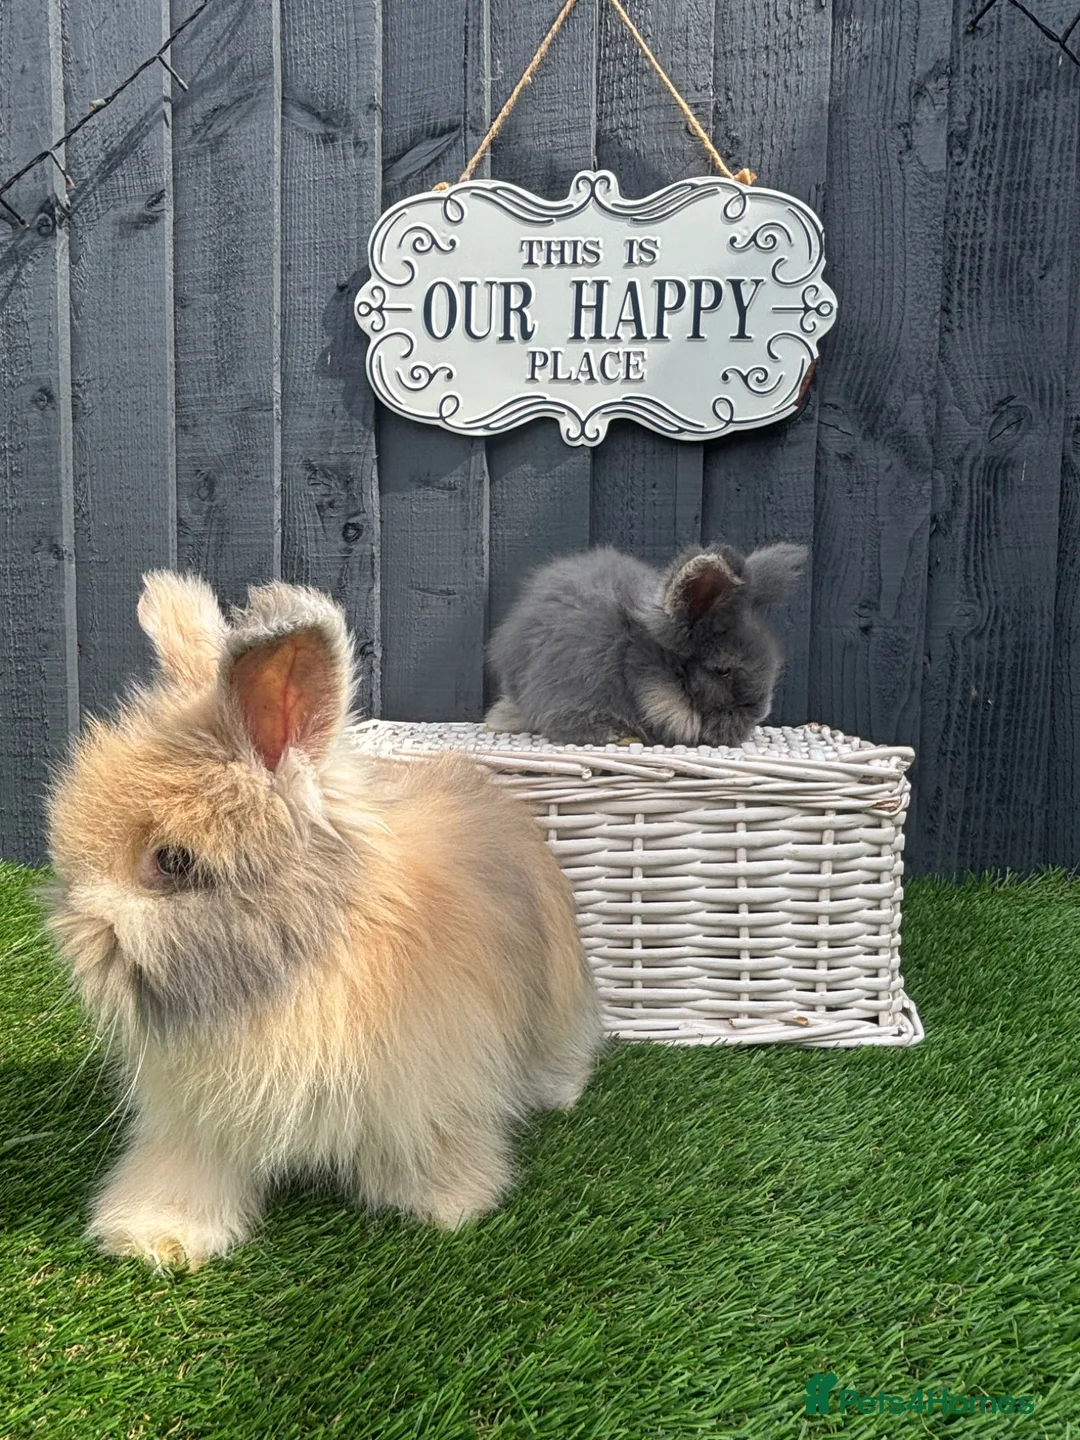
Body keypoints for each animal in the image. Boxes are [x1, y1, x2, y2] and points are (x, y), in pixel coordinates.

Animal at [44, 572, 602, 1270]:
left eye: (172, 861)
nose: (76, 940)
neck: (298, 968)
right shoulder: (199, 1122)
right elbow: (188, 1172)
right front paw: (156, 1238)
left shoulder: (434, 1092)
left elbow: (434, 1149)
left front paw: (447, 1209)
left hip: (558, 1007)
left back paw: (561, 1094)